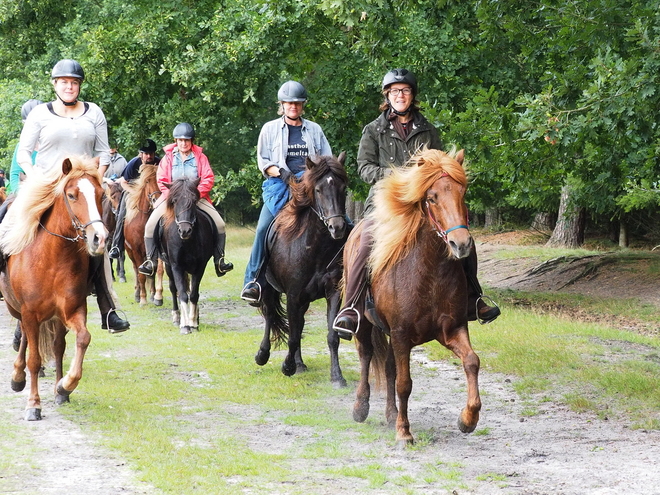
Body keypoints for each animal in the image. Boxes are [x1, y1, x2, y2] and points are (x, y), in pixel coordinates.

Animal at [0, 157, 107, 420]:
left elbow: (83, 338)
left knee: (58, 346)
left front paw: (65, 385)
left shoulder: (72, 310)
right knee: (25, 338)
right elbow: (34, 358)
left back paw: (60, 392)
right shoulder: (29, 312)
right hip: (17, 308)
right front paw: (33, 405)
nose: (99, 238)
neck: (53, 258)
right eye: (71, 195)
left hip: (55, 318)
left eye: (101, 195)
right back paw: (17, 377)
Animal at [124, 165, 165, 308]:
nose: (156, 200)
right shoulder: (136, 251)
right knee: (136, 271)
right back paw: (138, 294)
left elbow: (157, 270)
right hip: (130, 252)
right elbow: (141, 274)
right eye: (146, 181)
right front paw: (142, 299)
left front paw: (157, 296)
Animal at [157, 176, 214, 336]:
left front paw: (193, 322)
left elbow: (193, 294)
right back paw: (177, 317)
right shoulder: (176, 266)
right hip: (168, 266)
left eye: (194, 200)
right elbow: (182, 293)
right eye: (175, 201)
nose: (185, 231)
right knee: (173, 288)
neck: (187, 241)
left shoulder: (200, 267)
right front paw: (185, 325)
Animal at [256, 153, 354, 390]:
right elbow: (291, 335)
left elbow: (331, 336)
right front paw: (287, 367)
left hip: (305, 299)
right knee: (270, 315)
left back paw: (299, 363)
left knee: (297, 324)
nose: (337, 227)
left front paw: (337, 376)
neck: (315, 247)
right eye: (318, 190)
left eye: (343, 188)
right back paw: (263, 355)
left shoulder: (332, 292)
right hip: (269, 288)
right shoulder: (292, 295)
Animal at [348, 147, 482, 446]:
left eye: (463, 193)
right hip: (364, 323)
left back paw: (389, 414)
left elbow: (471, 361)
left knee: (387, 367)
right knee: (365, 355)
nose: (461, 244)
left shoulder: (452, 329)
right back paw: (361, 407)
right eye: (432, 198)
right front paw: (404, 432)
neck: (429, 273)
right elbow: (404, 383)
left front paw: (468, 419)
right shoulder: (401, 334)